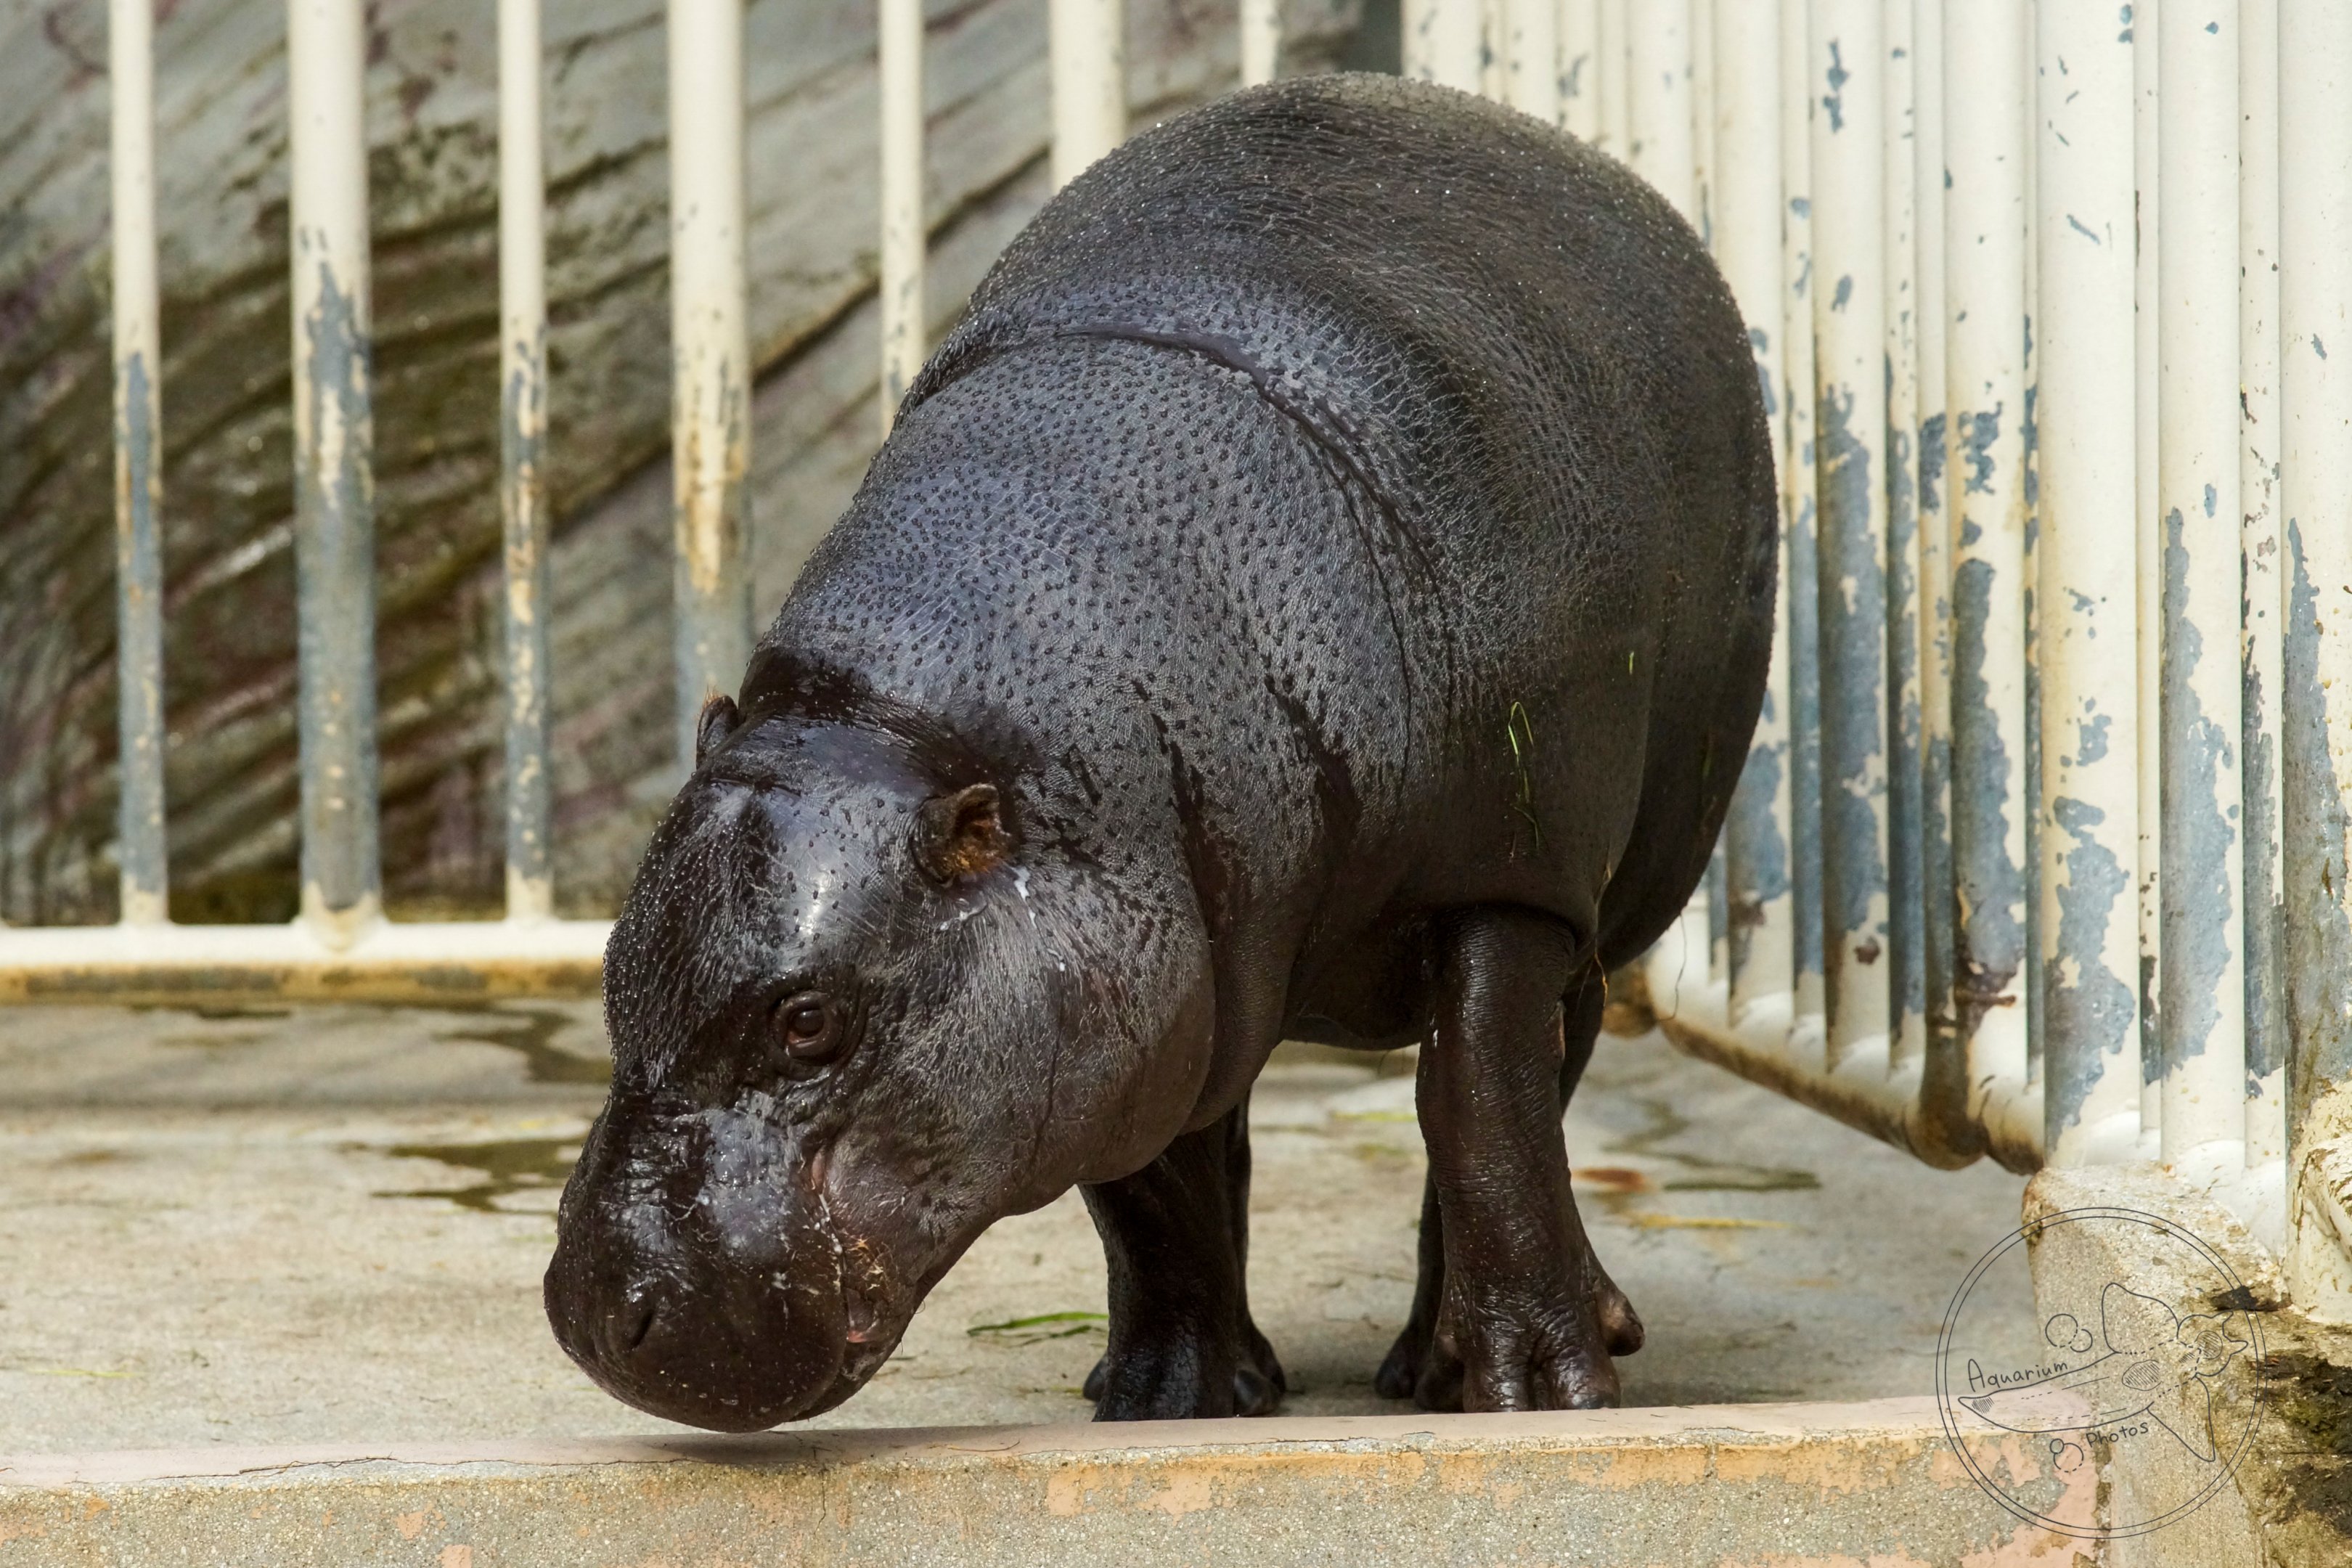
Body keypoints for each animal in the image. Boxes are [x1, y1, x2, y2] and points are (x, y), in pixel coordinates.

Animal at [545, 71, 1775, 1429]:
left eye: (810, 1021)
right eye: (613, 964)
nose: (598, 1313)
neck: (896, 724)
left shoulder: (1508, 878)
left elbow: (1483, 1109)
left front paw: (1542, 1393)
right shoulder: (1152, 956)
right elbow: (1153, 1181)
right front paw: (1167, 1400)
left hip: (1598, 894)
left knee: (1532, 1075)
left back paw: (1438, 1371)